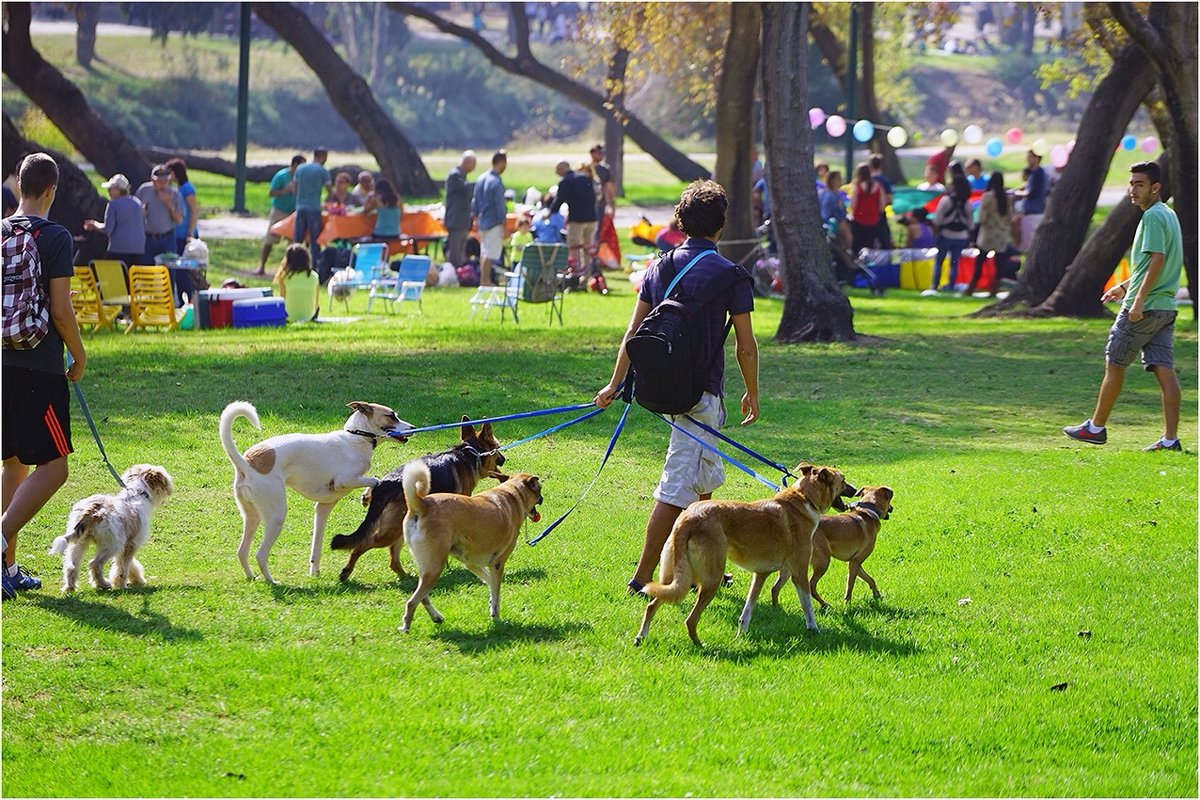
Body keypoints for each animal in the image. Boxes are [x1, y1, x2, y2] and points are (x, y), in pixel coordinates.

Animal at [220, 398, 412, 582]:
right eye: (391, 415)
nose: (412, 428)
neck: (355, 438)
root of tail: (246, 464)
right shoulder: (343, 480)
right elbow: (374, 480)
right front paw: (366, 495)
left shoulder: (322, 508)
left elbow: (316, 545)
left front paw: (315, 572)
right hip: (276, 516)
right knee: (260, 554)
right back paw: (271, 581)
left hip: (252, 516)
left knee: (242, 551)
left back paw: (252, 577)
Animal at [328, 419, 506, 582]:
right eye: (497, 446)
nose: (504, 459)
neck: (471, 453)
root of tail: (384, 483)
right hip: (391, 531)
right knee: (361, 546)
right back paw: (346, 571)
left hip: (400, 526)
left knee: (393, 558)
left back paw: (406, 577)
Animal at [398, 460, 544, 633]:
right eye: (539, 489)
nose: (542, 498)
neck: (514, 494)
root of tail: (421, 505)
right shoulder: (497, 563)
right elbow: (496, 589)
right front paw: (496, 615)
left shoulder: (472, 563)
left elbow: (492, 583)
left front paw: (492, 602)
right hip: (435, 567)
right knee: (413, 600)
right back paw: (406, 627)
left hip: (425, 565)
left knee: (423, 597)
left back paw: (436, 617)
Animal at [638, 465, 854, 647]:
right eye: (843, 480)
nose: (854, 489)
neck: (804, 498)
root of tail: (687, 519)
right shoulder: (799, 574)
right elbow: (808, 606)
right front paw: (814, 629)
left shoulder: (761, 575)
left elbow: (747, 611)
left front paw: (742, 634)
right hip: (711, 581)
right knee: (690, 620)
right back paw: (700, 644)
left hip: (672, 579)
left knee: (651, 605)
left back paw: (641, 637)